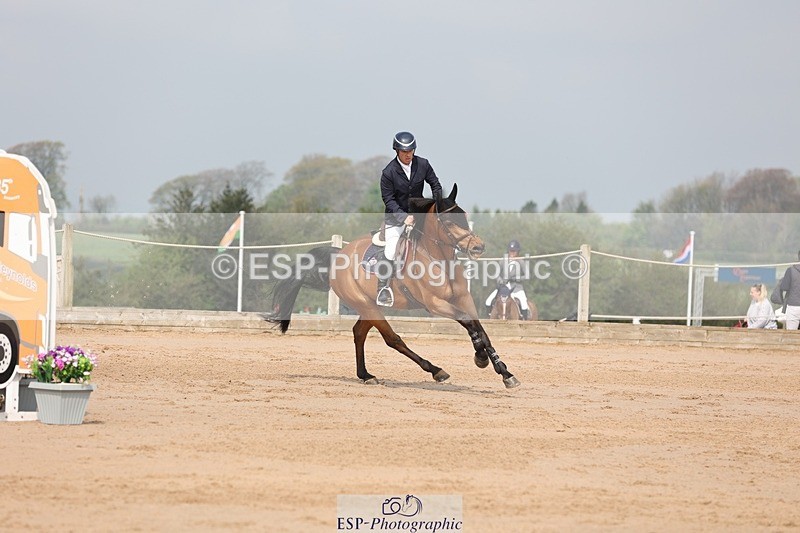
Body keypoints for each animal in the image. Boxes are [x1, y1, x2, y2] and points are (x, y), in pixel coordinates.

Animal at [267, 184, 520, 389]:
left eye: (465, 217)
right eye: (449, 222)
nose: (478, 247)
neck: (439, 260)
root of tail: (339, 254)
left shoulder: (463, 299)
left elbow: (480, 329)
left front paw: (504, 372)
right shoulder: (435, 305)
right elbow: (469, 324)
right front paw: (481, 357)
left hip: (370, 307)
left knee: (359, 332)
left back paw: (366, 375)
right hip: (368, 306)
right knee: (392, 339)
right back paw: (435, 370)